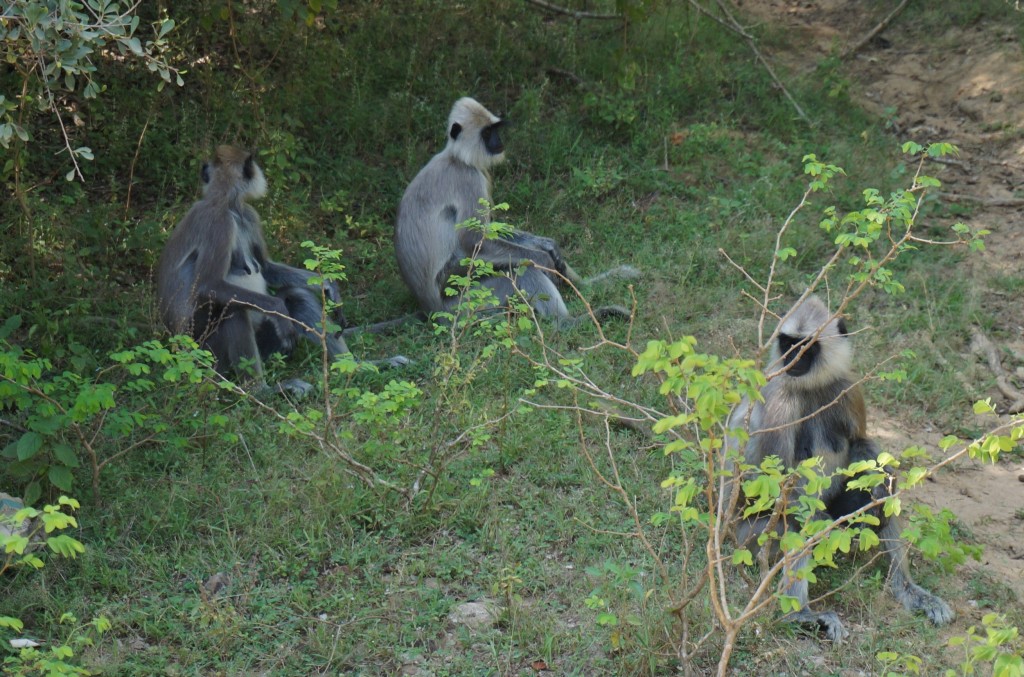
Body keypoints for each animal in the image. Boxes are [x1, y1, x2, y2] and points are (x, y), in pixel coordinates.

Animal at [157, 145, 405, 393]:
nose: (260, 172)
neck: (227, 204)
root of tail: (180, 354)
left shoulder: (249, 215)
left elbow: (267, 268)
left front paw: (329, 286)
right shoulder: (220, 222)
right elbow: (210, 285)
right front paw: (277, 305)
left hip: (267, 346)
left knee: (296, 297)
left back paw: (358, 366)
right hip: (206, 355)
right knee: (235, 311)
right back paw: (262, 391)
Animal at [393, 96, 638, 325]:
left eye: (495, 130)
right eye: (487, 132)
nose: (498, 141)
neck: (457, 158)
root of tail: (432, 311)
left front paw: (548, 246)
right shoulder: (469, 179)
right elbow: (473, 239)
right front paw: (544, 258)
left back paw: (590, 284)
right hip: (462, 296)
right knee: (524, 268)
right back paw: (568, 322)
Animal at [729, 294, 950, 639]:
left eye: (807, 346)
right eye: (788, 343)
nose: (793, 357)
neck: (811, 386)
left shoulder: (847, 385)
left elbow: (862, 444)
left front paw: (881, 482)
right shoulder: (780, 396)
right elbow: (770, 482)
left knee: (879, 493)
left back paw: (908, 590)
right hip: (751, 539)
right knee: (798, 522)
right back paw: (800, 615)